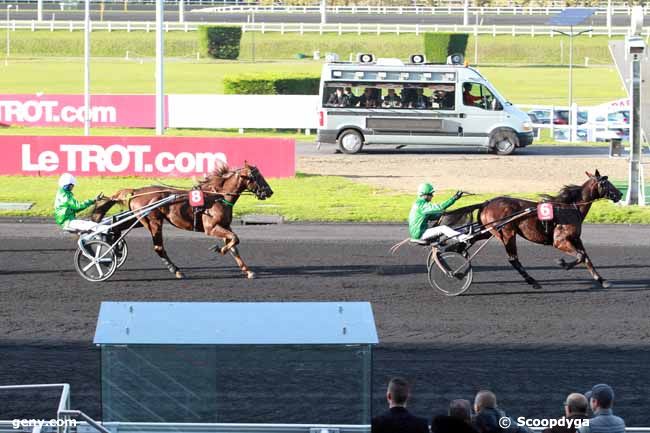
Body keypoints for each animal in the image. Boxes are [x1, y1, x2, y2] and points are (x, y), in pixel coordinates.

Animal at [90, 160, 270, 278]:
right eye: (257, 176)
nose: (270, 191)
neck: (218, 196)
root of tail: (137, 191)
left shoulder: (225, 226)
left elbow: (234, 245)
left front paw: (247, 270)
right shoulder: (211, 228)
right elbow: (234, 239)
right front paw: (219, 249)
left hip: (139, 219)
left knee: (117, 228)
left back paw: (111, 248)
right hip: (153, 221)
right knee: (158, 247)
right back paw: (175, 269)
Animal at [438, 170, 620, 288]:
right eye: (606, 182)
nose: (619, 194)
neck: (570, 207)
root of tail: (487, 202)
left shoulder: (576, 238)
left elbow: (586, 258)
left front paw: (602, 280)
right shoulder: (560, 240)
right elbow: (580, 256)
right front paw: (562, 263)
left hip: (489, 231)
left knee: (467, 241)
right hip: (507, 232)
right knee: (513, 259)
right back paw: (532, 281)